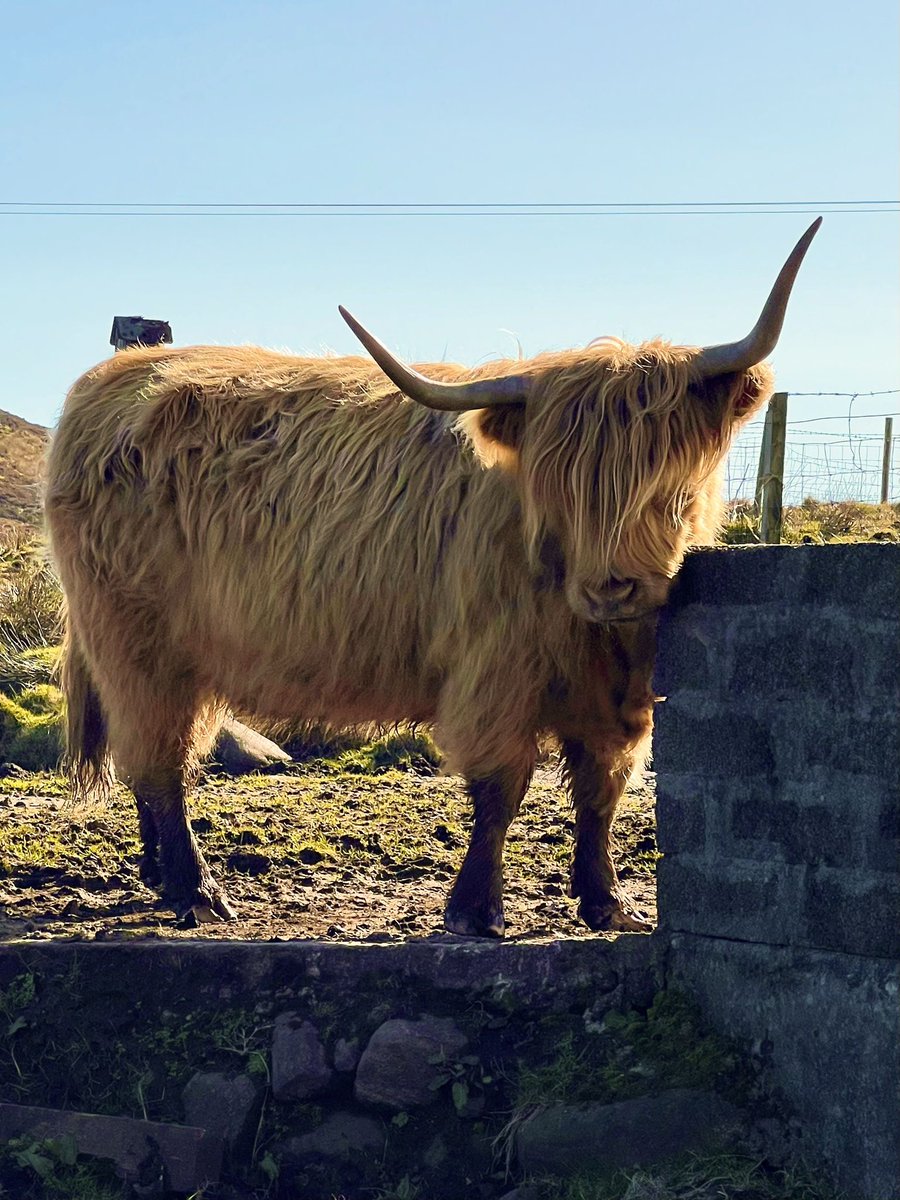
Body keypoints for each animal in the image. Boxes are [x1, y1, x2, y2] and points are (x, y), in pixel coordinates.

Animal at [45, 220, 820, 931]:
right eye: (558, 488)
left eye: (671, 489)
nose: (613, 587)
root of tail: (111, 381)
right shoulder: (496, 675)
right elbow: (502, 790)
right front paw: (475, 910)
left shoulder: (620, 697)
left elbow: (602, 791)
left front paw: (607, 903)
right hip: (138, 645)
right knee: (160, 758)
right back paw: (195, 890)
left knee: (149, 758)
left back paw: (156, 872)